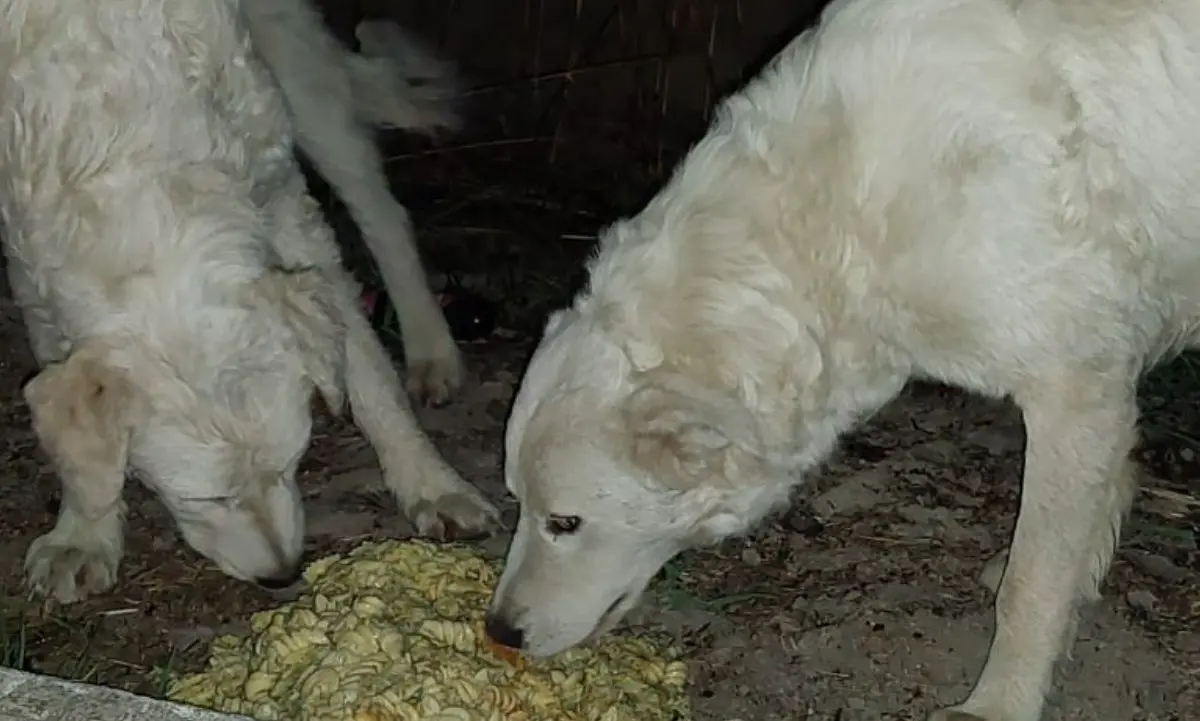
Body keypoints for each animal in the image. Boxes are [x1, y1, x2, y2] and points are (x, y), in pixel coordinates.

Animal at [0, 0, 496, 604]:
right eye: (206, 499)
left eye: (294, 464)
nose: (282, 575)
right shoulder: (28, 257)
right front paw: (85, 532)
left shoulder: (289, 208)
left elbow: (373, 379)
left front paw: (432, 486)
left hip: (300, 76)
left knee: (383, 214)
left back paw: (432, 351)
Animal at [484, 1, 1200, 719]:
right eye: (517, 502)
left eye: (565, 522)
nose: (499, 631)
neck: (840, 213)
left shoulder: (1073, 389)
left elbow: (1030, 587)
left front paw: (999, 702)